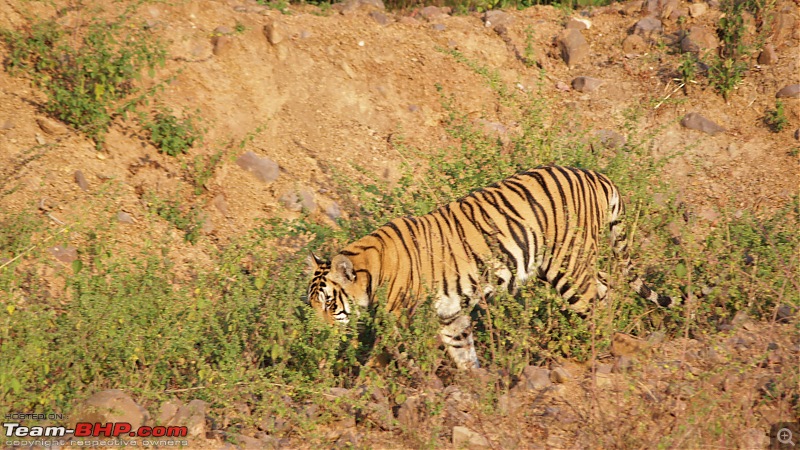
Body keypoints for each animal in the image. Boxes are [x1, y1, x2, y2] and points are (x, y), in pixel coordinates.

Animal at [306, 165, 676, 370]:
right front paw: (475, 385)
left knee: (596, 305)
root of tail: (595, 174)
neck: (370, 271)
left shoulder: (402, 319)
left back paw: (600, 350)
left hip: (569, 265)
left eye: (329, 304)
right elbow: (462, 350)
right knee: (606, 287)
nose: (318, 333)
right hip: (570, 263)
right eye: (311, 305)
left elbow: (381, 357)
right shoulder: (450, 313)